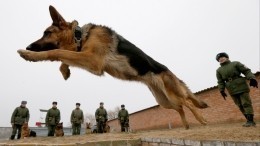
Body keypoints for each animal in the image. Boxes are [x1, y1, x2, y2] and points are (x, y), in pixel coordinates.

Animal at [17, 5, 208, 129]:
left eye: (47, 33)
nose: (29, 47)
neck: (81, 36)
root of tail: (169, 71)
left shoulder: (92, 60)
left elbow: (56, 52)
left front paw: (30, 56)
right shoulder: (85, 56)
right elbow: (64, 56)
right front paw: (65, 70)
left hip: (171, 94)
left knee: (187, 102)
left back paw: (202, 120)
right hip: (165, 101)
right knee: (181, 107)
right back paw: (186, 125)